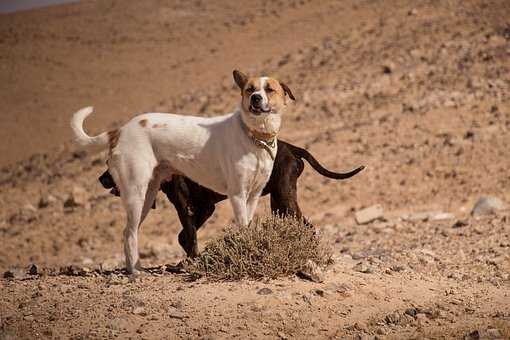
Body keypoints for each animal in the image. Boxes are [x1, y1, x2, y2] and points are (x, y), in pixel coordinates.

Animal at [71, 70, 294, 274]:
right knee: (129, 233)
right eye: (250, 89)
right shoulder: (237, 195)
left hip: (148, 195)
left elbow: (247, 225)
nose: (256, 98)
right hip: (136, 193)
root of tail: (121, 130)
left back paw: (136, 268)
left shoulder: (253, 195)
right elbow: (240, 228)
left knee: (129, 231)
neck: (255, 136)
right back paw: (135, 272)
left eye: (269, 89)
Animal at [98, 139, 362, 256]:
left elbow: (189, 234)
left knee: (306, 225)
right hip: (278, 202)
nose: (101, 179)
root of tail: (291, 146)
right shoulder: (204, 207)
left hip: (283, 197)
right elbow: (185, 234)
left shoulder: (185, 206)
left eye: (112, 164)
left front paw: (191, 261)